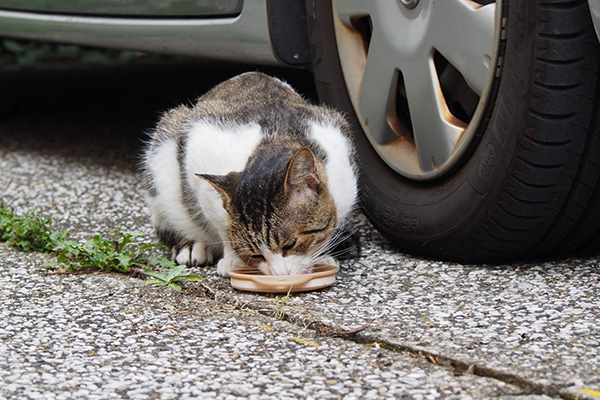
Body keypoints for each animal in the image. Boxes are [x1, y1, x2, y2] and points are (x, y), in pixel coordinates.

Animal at [141, 72, 358, 276]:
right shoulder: (200, 152)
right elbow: (222, 225)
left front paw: (321, 256)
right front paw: (233, 259)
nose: (281, 274)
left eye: (290, 245)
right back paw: (192, 245)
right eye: (257, 254)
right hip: (165, 145)